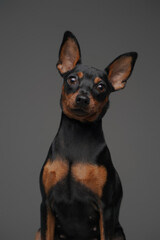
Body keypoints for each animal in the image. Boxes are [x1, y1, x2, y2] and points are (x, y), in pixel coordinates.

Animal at [35, 31, 138, 240]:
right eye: (72, 79)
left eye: (101, 87)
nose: (82, 98)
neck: (77, 135)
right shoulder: (46, 204)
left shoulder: (106, 209)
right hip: (37, 231)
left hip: (118, 233)